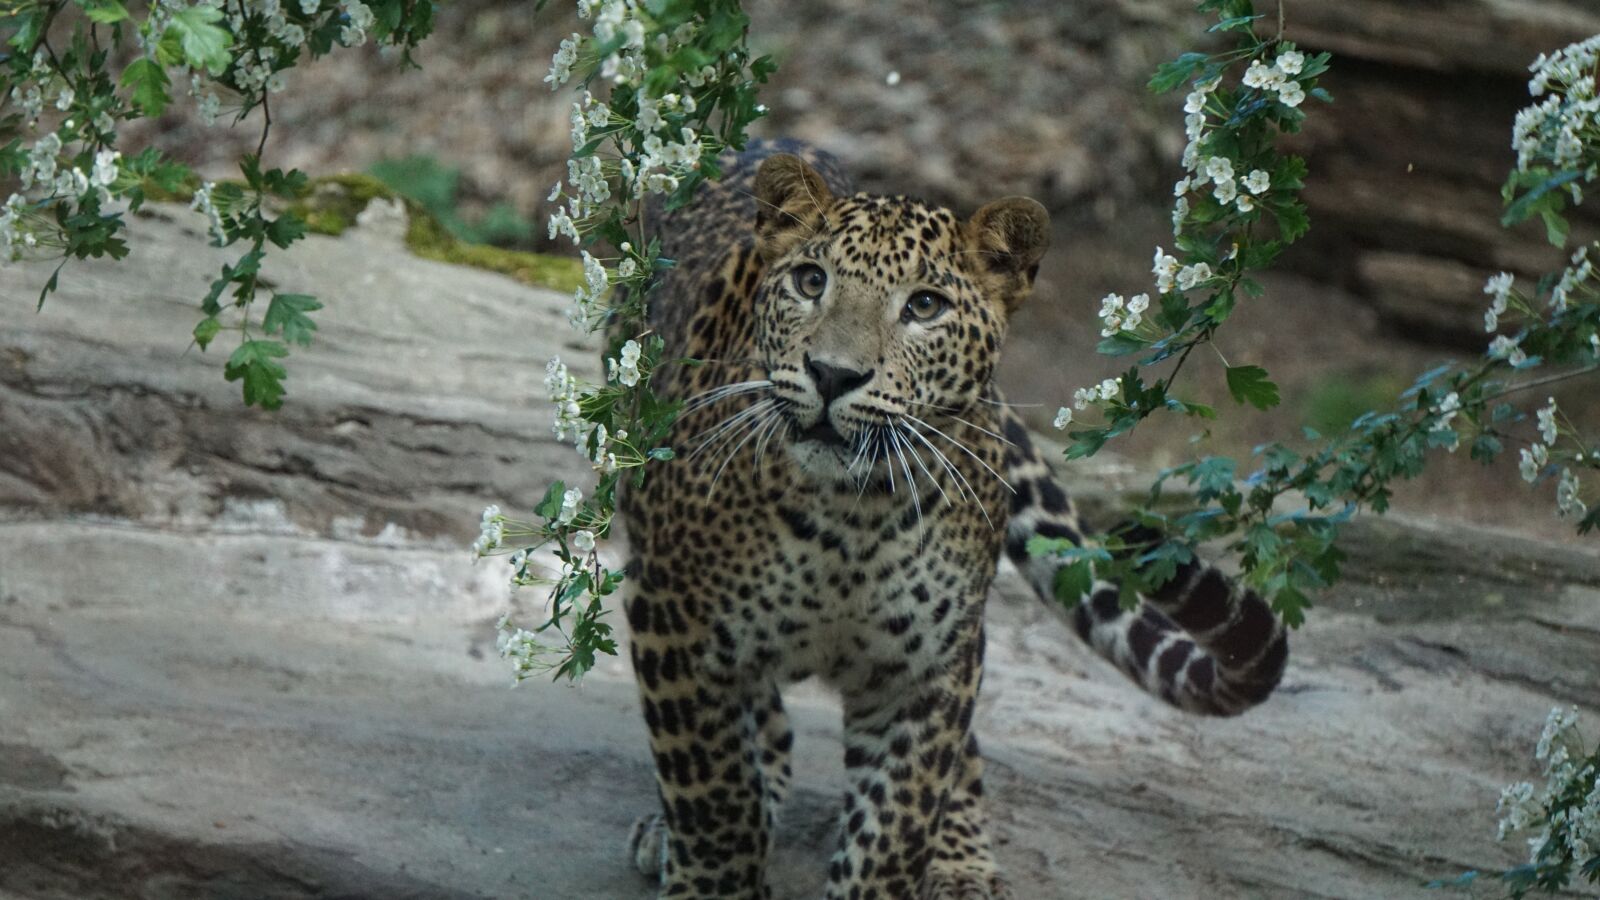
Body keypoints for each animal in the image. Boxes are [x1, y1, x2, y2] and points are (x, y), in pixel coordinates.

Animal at [614, 139, 1288, 900]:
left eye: (925, 306)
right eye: (812, 282)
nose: (832, 374)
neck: (851, 514)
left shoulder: (925, 669)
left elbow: (894, 826)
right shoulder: (673, 618)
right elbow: (715, 796)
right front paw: (712, 869)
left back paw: (962, 862)